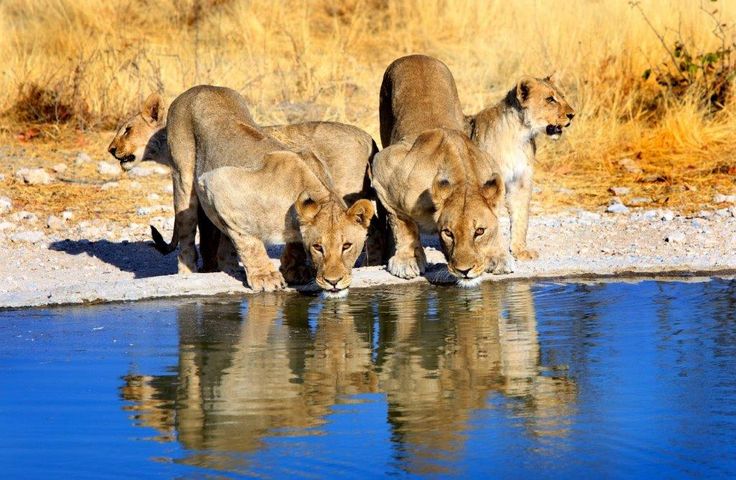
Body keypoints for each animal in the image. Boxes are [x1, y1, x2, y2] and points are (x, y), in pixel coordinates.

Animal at [113, 85, 375, 295]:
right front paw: (266, 277)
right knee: (188, 228)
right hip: (184, 176)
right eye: (318, 247)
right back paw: (189, 271)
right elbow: (247, 239)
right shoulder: (216, 183)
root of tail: (199, 87)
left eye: (347, 246)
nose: (333, 281)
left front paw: (293, 269)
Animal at [372, 55, 509, 287]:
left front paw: (496, 256)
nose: (465, 270)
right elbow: (402, 223)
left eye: (479, 231)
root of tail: (416, 55)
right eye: (448, 233)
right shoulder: (383, 169)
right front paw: (407, 260)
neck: (462, 181)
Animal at [465, 76, 574, 260]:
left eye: (562, 96)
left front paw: (520, 250)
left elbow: (521, 217)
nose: (572, 115)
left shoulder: (520, 181)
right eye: (550, 99)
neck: (519, 135)